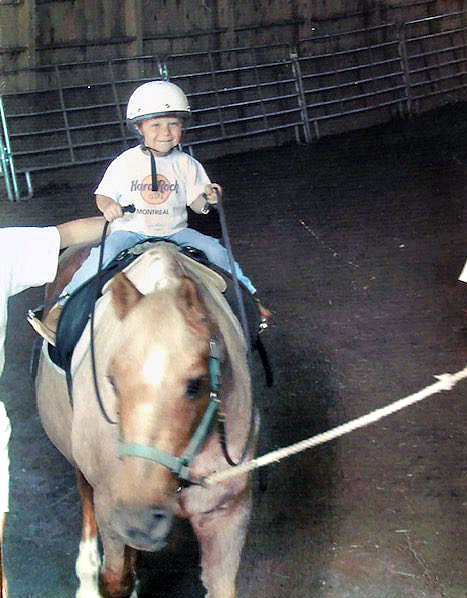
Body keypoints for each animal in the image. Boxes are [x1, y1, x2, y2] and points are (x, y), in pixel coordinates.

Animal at [34, 244, 258, 598]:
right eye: (111, 381)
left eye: (195, 385)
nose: (140, 520)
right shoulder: (111, 505)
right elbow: (116, 578)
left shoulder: (225, 515)